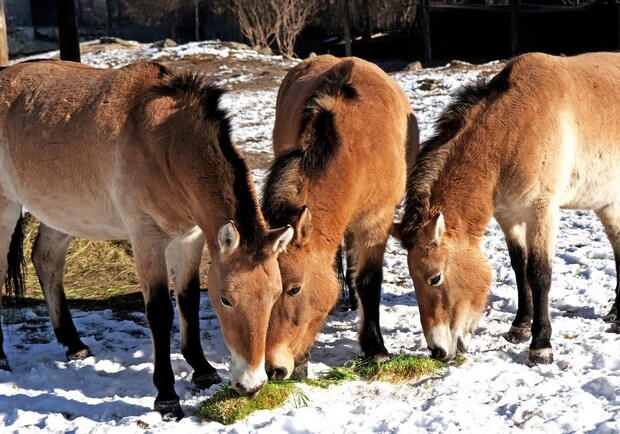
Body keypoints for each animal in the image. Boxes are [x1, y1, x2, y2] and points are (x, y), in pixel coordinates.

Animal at [0, 59, 294, 418]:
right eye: (226, 300)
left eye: (275, 296)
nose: (251, 385)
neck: (162, 140)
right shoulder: (147, 239)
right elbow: (160, 312)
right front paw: (167, 395)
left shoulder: (189, 240)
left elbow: (188, 301)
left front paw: (202, 370)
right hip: (6, 209)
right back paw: (2, 359)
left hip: (63, 214)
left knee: (46, 261)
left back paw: (74, 345)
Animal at [260, 53, 418, 380]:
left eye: (294, 288)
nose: (273, 369)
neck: (357, 147)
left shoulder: (376, 223)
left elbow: (369, 280)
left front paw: (375, 349)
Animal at [394, 51, 620, 366]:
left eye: (434, 277)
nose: (437, 351)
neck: (512, 131)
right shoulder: (508, 215)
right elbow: (519, 267)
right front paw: (520, 327)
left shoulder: (542, 211)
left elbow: (539, 273)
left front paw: (541, 346)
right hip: (607, 203)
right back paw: (616, 313)